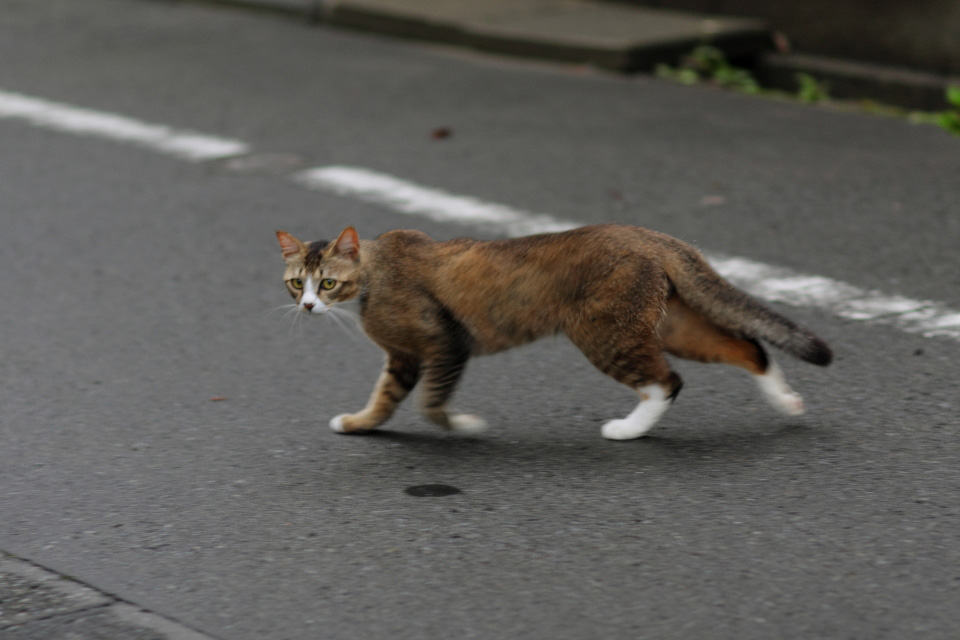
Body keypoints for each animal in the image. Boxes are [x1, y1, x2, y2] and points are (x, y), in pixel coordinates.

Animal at [274, 225, 828, 440]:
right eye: (295, 283)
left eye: (328, 282)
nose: (308, 305)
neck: (375, 275)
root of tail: (647, 235)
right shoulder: (404, 357)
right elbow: (386, 397)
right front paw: (359, 423)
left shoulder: (446, 342)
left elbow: (431, 403)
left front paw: (465, 425)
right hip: (671, 322)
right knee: (747, 346)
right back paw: (788, 402)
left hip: (604, 330)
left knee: (665, 381)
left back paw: (628, 429)